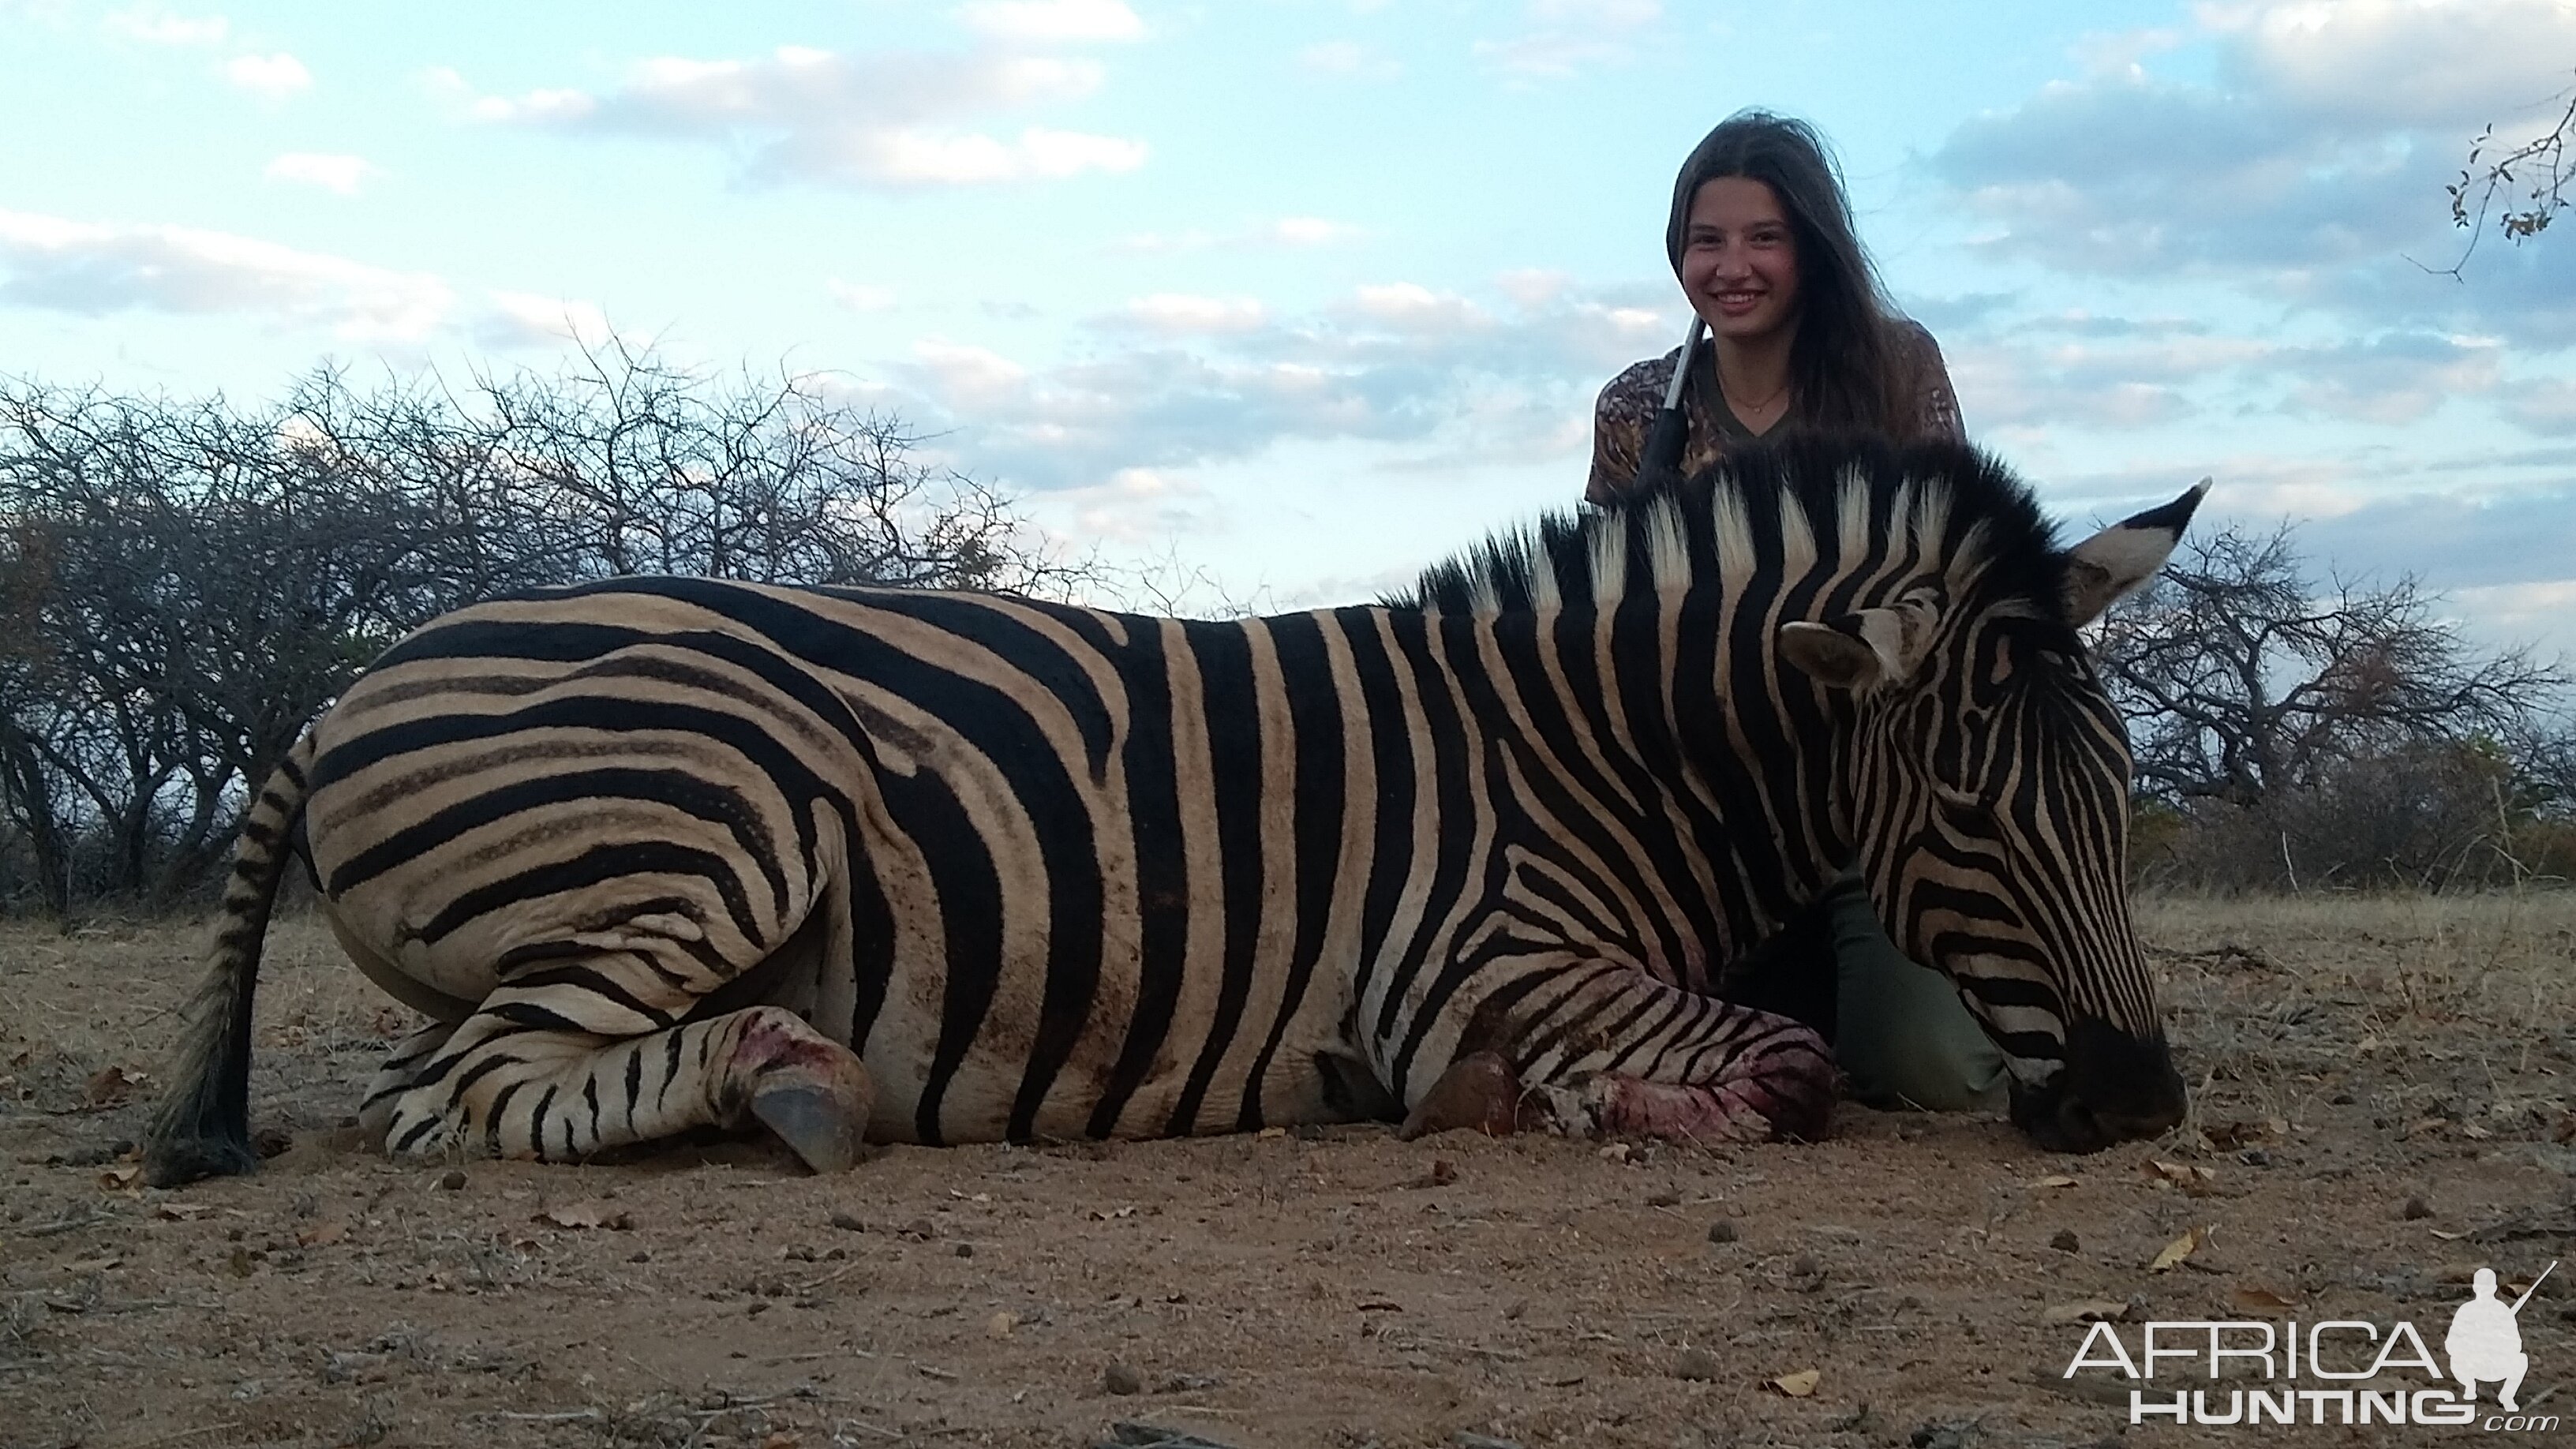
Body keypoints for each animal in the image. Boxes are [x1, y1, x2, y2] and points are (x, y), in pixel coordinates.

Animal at [146, 430, 2194, 1185]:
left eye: (2118, 798)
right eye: (1968, 817)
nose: (2136, 1101)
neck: (1587, 745)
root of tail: (342, 689)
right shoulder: (1472, 966)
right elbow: (1789, 1064)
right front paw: (1552, 1104)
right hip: (731, 811)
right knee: (451, 1096)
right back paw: (794, 1083)